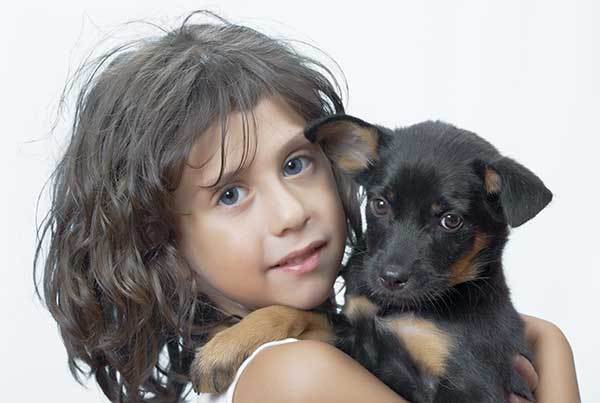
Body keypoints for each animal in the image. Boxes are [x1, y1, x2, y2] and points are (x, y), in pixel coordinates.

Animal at [308, 114, 552, 403]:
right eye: (380, 204)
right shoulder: (352, 331)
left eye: (451, 220)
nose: (390, 279)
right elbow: (308, 318)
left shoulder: (468, 384)